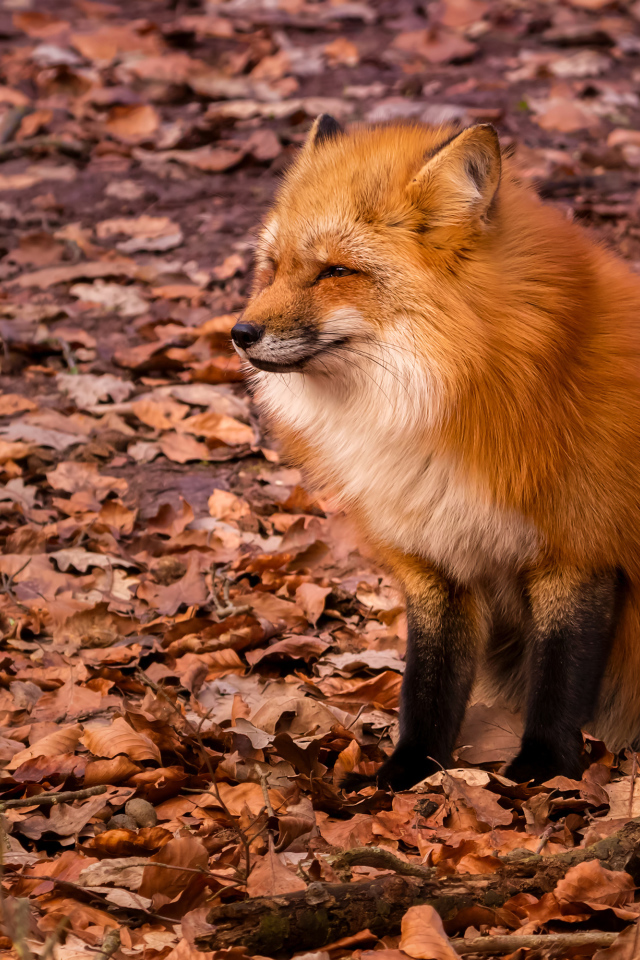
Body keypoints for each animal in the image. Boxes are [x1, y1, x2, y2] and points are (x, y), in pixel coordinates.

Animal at [231, 116, 640, 788]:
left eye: (335, 271)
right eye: (273, 267)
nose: (239, 334)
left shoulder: (578, 550)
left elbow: (559, 679)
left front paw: (543, 773)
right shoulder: (436, 557)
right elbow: (428, 684)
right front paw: (405, 777)